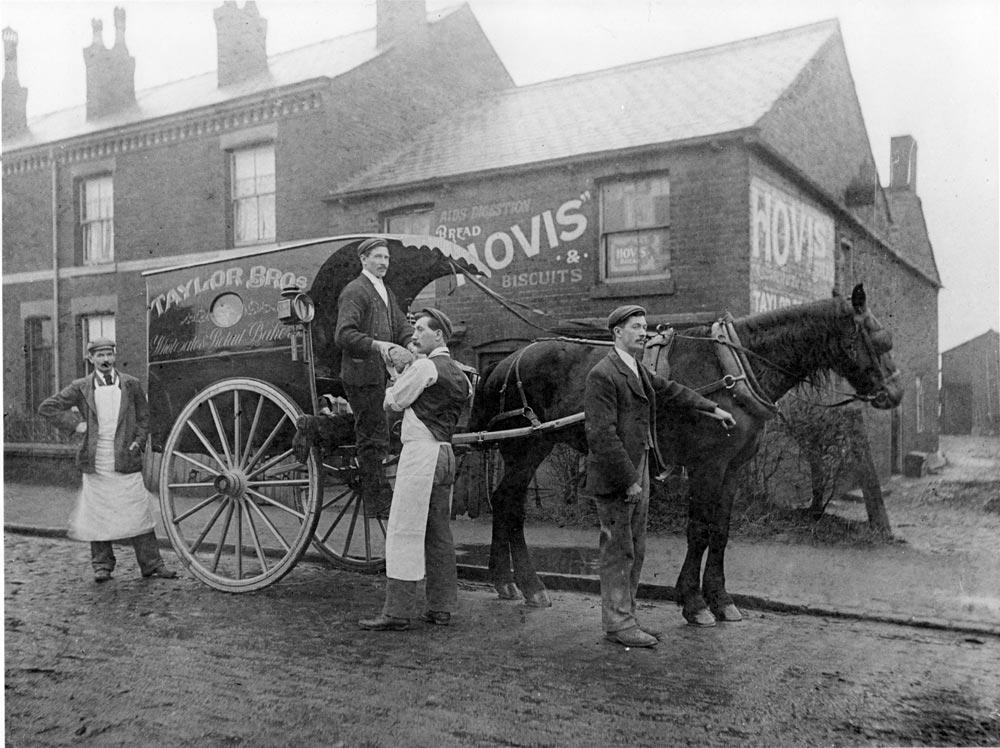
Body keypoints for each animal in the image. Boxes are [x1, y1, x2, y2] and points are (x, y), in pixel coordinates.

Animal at [464, 284, 904, 624]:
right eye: (880, 339)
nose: (895, 394)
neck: (734, 368)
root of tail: (505, 362)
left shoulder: (733, 469)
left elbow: (721, 531)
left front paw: (721, 600)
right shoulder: (707, 465)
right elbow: (699, 529)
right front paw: (694, 603)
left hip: (527, 449)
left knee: (503, 501)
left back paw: (505, 581)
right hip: (529, 445)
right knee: (511, 504)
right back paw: (530, 584)